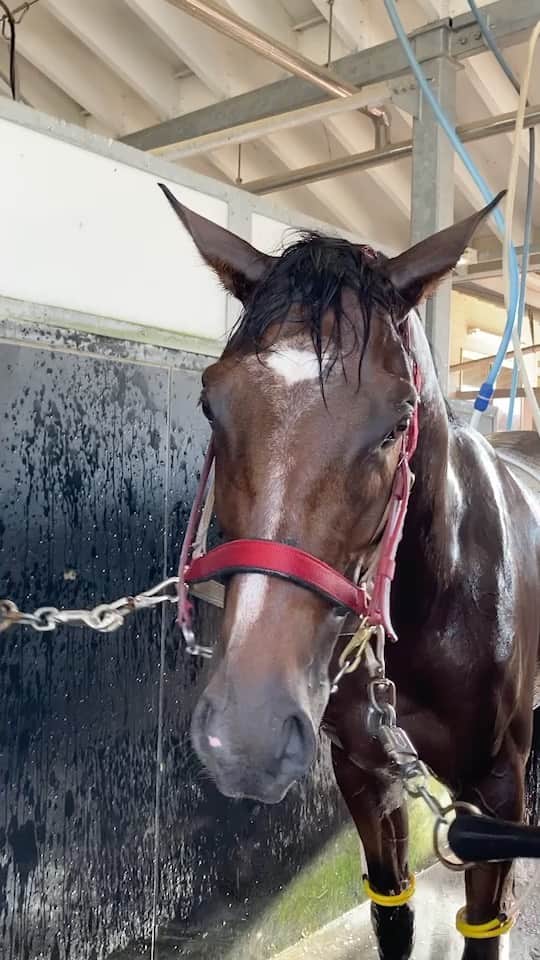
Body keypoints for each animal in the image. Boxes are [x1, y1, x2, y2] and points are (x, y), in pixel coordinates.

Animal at [160, 182, 540, 960]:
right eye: (212, 401)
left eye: (398, 420)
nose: (245, 736)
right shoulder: (365, 772)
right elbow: (392, 913)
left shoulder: (494, 793)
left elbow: (483, 930)